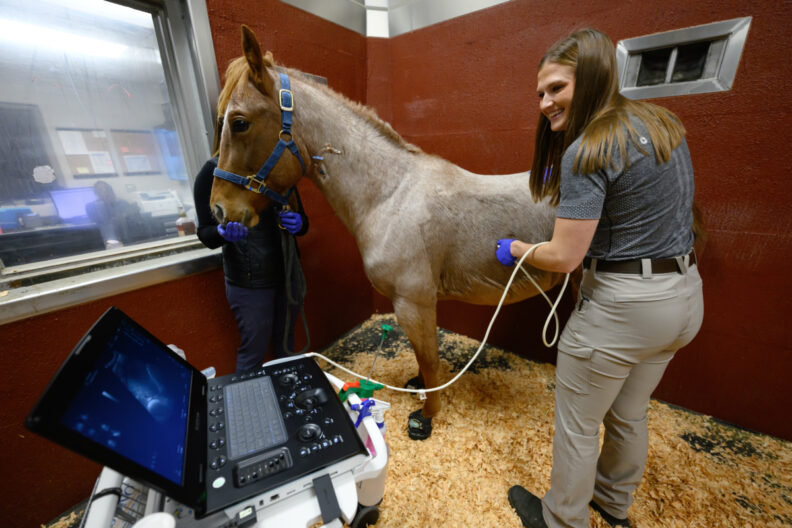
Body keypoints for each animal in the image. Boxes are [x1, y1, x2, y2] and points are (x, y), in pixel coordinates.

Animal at [210, 26, 563, 440]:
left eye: (239, 122)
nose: (219, 210)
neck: (390, 195)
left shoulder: (413, 303)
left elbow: (430, 359)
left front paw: (426, 417)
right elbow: (423, 361)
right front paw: (418, 391)